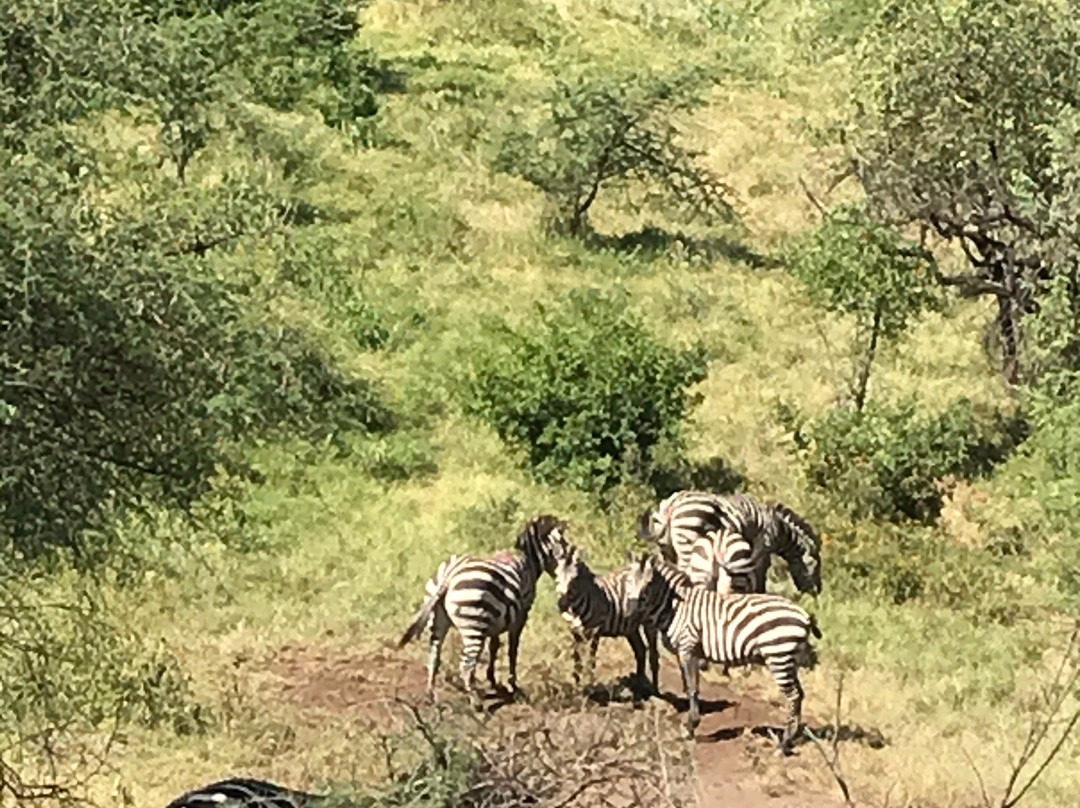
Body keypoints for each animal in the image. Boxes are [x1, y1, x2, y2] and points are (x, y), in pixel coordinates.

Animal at [397, 512, 565, 708]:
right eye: (563, 542)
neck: (527, 560)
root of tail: (451, 574)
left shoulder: (497, 618)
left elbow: (494, 647)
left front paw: (493, 680)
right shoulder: (520, 616)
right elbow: (512, 650)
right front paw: (513, 686)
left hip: (439, 620)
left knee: (434, 655)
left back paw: (431, 694)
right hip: (473, 626)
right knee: (465, 664)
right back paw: (475, 701)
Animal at [552, 535, 660, 695]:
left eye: (574, 578)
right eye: (556, 575)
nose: (562, 605)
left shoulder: (596, 631)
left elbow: (591, 660)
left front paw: (590, 687)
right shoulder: (575, 632)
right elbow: (577, 661)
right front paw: (577, 688)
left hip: (649, 624)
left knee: (653, 654)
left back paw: (655, 691)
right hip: (630, 628)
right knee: (640, 650)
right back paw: (639, 685)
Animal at [630, 557, 820, 751]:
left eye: (649, 582)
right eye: (630, 581)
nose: (632, 607)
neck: (676, 607)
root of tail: (804, 615)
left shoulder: (687, 647)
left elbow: (691, 687)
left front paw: (691, 726)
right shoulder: (694, 652)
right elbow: (694, 686)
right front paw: (692, 723)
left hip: (778, 656)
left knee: (793, 695)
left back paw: (784, 742)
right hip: (790, 660)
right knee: (799, 694)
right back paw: (795, 735)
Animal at [635, 488, 820, 596]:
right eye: (816, 566)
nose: (817, 593)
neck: (779, 528)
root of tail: (672, 504)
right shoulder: (763, 547)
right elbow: (759, 576)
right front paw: (758, 594)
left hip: (667, 548)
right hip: (687, 542)